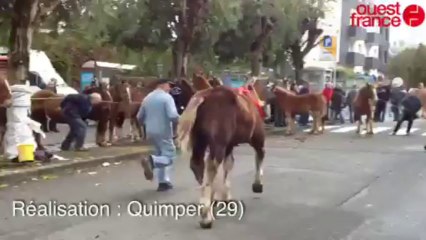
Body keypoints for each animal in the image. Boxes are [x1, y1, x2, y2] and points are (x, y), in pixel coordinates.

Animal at [176, 86, 262, 229]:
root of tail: (203, 97)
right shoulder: (257, 139)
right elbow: (259, 158)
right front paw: (257, 185)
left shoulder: (229, 145)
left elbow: (228, 165)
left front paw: (221, 197)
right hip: (218, 144)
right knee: (211, 168)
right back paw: (206, 216)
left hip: (200, 143)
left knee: (198, 166)